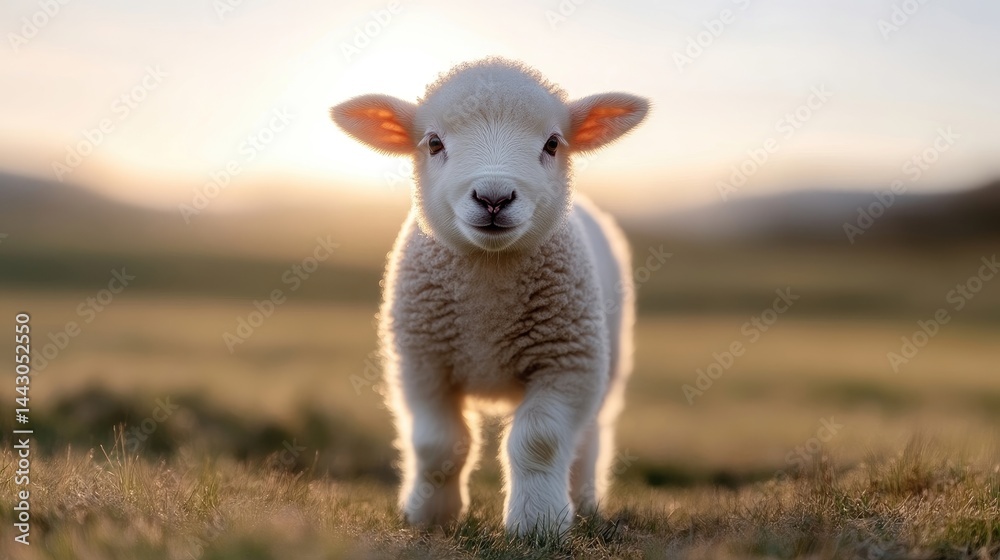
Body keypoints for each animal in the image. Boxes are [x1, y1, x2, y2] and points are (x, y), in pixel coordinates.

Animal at [331, 58, 649, 535]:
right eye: (434, 143)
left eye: (553, 144)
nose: (494, 198)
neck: (489, 279)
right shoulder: (423, 366)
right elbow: (438, 443)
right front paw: (430, 514)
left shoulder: (568, 365)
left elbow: (539, 441)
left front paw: (538, 524)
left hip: (607, 364)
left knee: (590, 437)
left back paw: (584, 501)